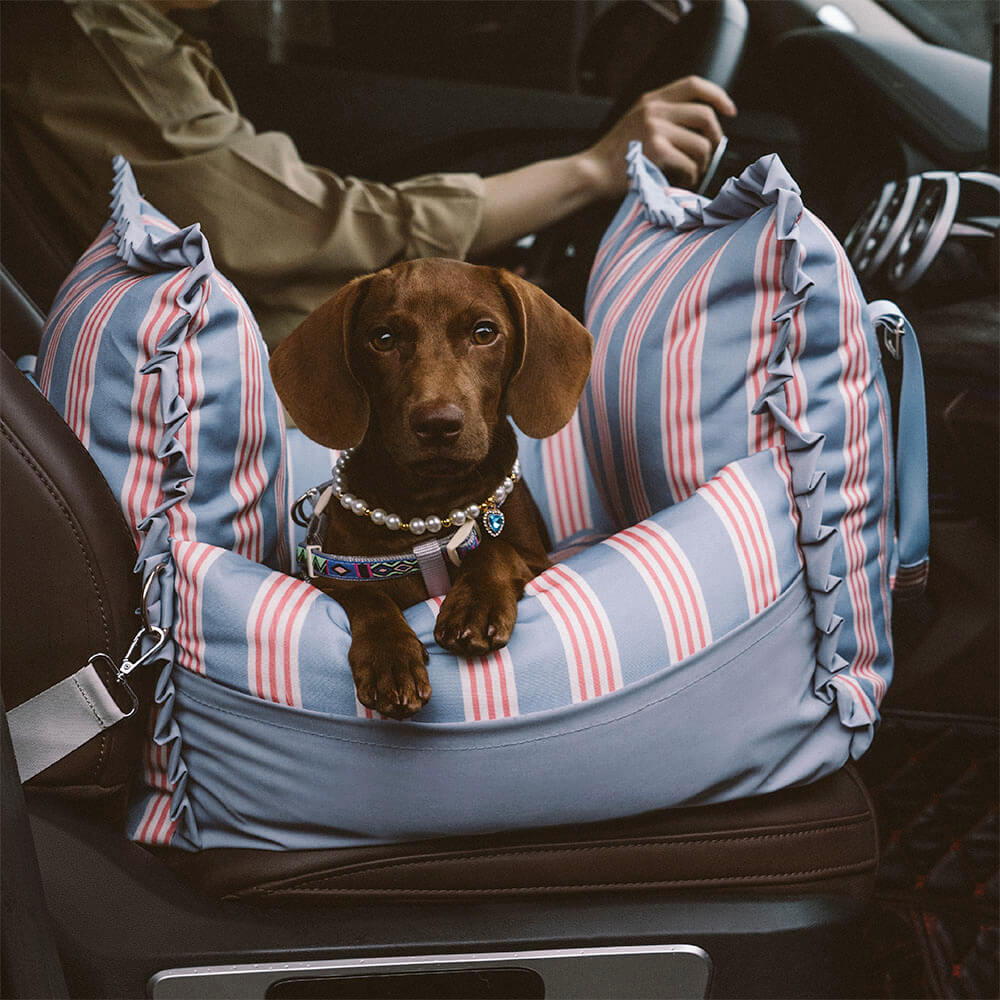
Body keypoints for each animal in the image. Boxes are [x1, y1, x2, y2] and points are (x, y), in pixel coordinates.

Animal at [270, 258, 588, 720]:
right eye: (383, 338)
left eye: (485, 333)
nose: (438, 424)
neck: (429, 508)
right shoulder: (329, 575)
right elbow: (367, 596)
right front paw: (390, 658)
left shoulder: (538, 559)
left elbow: (496, 550)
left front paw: (475, 604)